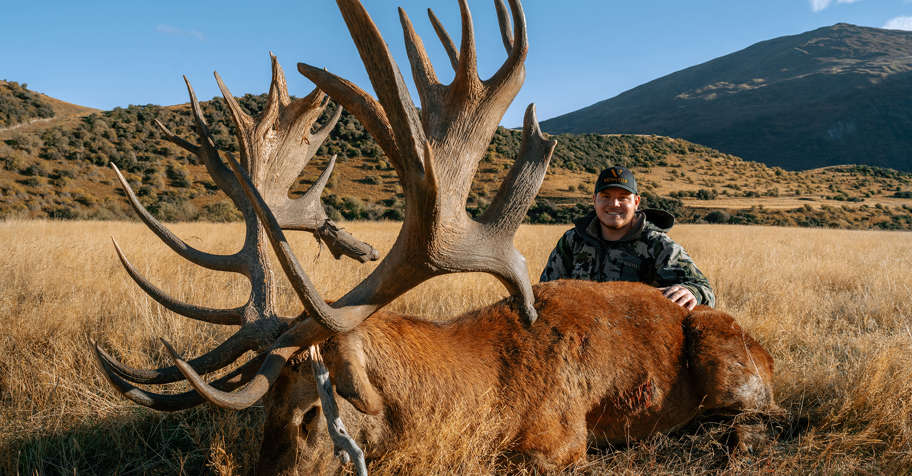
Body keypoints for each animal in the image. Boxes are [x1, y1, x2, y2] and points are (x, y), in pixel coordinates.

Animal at [93, 0, 781, 474]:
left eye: (313, 412)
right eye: (265, 411)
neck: (478, 385)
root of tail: (766, 351)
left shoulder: (560, 440)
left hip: (727, 358)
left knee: (759, 416)